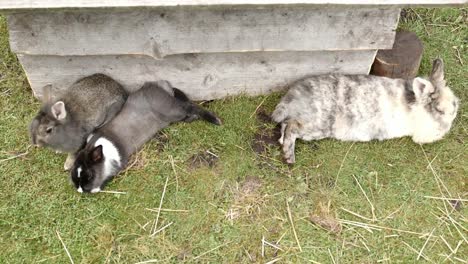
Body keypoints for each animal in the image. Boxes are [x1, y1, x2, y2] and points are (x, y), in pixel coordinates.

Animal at [70, 79, 222, 193]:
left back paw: (215, 120)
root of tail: (159, 85)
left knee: (190, 106)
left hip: (173, 110)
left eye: (89, 175)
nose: (81, 190)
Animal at [272, 58, 458, 164]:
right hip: (317, 125)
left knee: (285, 126)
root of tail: (293, 95)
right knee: (291, 127)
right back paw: (289, 157)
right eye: (439, 109)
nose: (452, 117)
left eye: (455, 103)